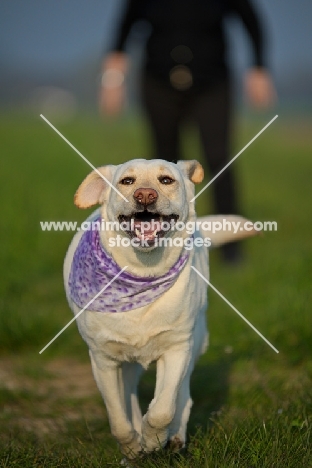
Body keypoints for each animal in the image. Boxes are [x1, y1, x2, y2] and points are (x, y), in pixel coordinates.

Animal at [63, 159, 256, 458]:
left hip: (194, 343)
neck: (144, 270)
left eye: (166, 180)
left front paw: (154, 439)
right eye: (127, 181)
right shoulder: (103, 359)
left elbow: (163, 409)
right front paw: (132, 447)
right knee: (129, 396)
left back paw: (173, 437)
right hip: (127, 363)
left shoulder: (177, 348)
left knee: (182, 396)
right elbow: (118, 418)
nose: (145, 195)